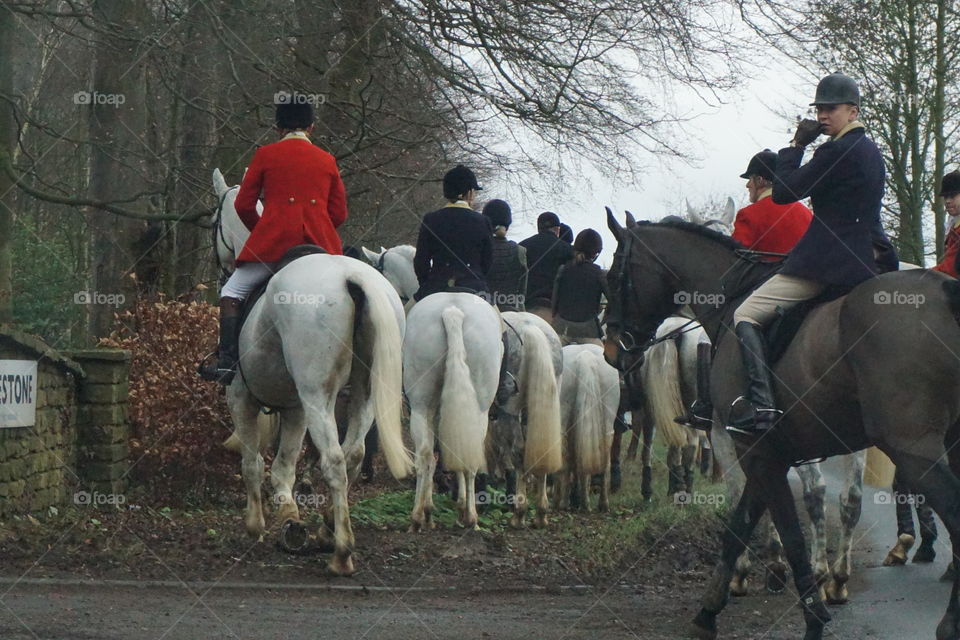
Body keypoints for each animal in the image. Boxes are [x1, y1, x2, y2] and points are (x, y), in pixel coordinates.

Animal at [208, 166, 410, 576]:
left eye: (212, 221)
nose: (218, 267)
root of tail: (351, 278)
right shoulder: (295, 406)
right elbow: (284, 466)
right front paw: (290, 518)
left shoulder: (240, 397)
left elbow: (253, 464)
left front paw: (256, 524)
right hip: (362, 393)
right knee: (352, 455)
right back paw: (327, 531)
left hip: (318, 395)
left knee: (334, 459)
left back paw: (342, 552)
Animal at [402, 292, 502, 528]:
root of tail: (452, 312)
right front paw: (462, 509)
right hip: (480, 411)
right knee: (470, 459)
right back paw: (471, 518)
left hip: (420, 405)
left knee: (425, 454)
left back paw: (419, 517)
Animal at [556, 342, 624, 512]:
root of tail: (585, 356)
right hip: (607, 425)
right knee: (604, 462)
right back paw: (602, 504)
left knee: (568, 459)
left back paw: (566, 502)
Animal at [604, 214, 960, 640]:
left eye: (614, 275)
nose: (612, 349)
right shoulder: (769, 451)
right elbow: (740, 525)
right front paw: (709, 611)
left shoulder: (748, 448)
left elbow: (783, 529)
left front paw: (808, 611)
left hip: (911, 446)